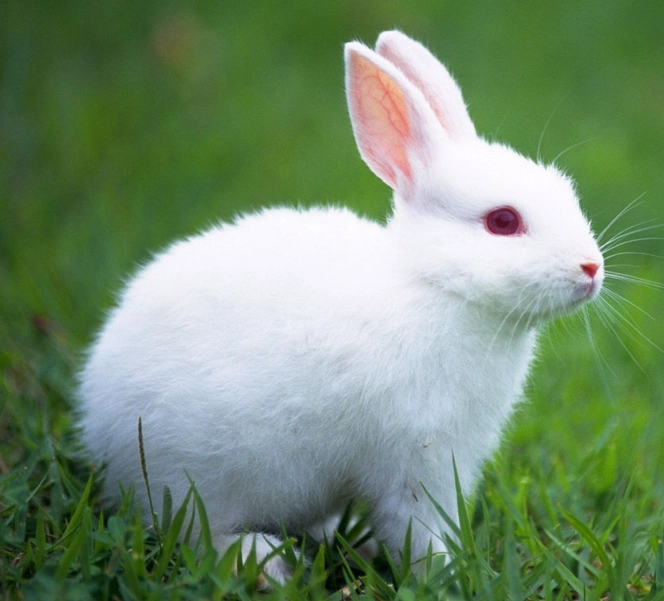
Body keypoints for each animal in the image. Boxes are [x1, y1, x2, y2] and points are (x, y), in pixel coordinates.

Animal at [78, 30, 604, 584]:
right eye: (503, 221)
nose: (591, 268)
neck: (435, 286)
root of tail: (98, 426)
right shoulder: (418, 462)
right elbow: (419, 531)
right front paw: (447, 576)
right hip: (196, 476)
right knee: (198, 534)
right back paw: (267, 563)